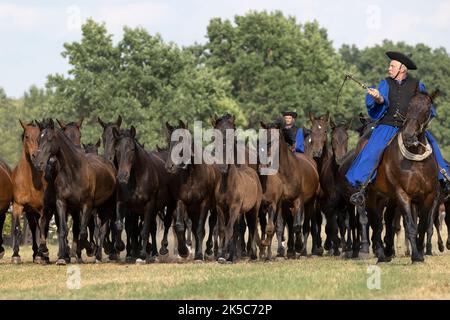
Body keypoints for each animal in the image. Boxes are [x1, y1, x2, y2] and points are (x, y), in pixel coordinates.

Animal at [32, 119, 117, 264]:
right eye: (38, 139)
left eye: (50, 139)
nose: (39, 163)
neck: (73, 173)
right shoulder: (61, 204)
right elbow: (63, 230)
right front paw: (62, 257)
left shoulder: (87, 205)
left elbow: (83, 233)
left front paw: (89, 249)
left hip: (106, 207)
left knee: (102, 230)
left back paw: (98, 255)